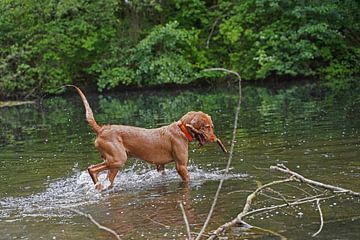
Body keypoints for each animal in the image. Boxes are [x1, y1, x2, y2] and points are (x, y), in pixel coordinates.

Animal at [66, 85, 226, 190]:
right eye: (207, 127)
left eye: (211, 125)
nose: (215, 139)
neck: (181, 130)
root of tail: (101, 129)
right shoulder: (181, 166)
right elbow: (187, 178)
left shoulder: (160, 166)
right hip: (118, 159)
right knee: (91, 169)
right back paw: (97, 184)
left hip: (113, 163)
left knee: (106, 178)